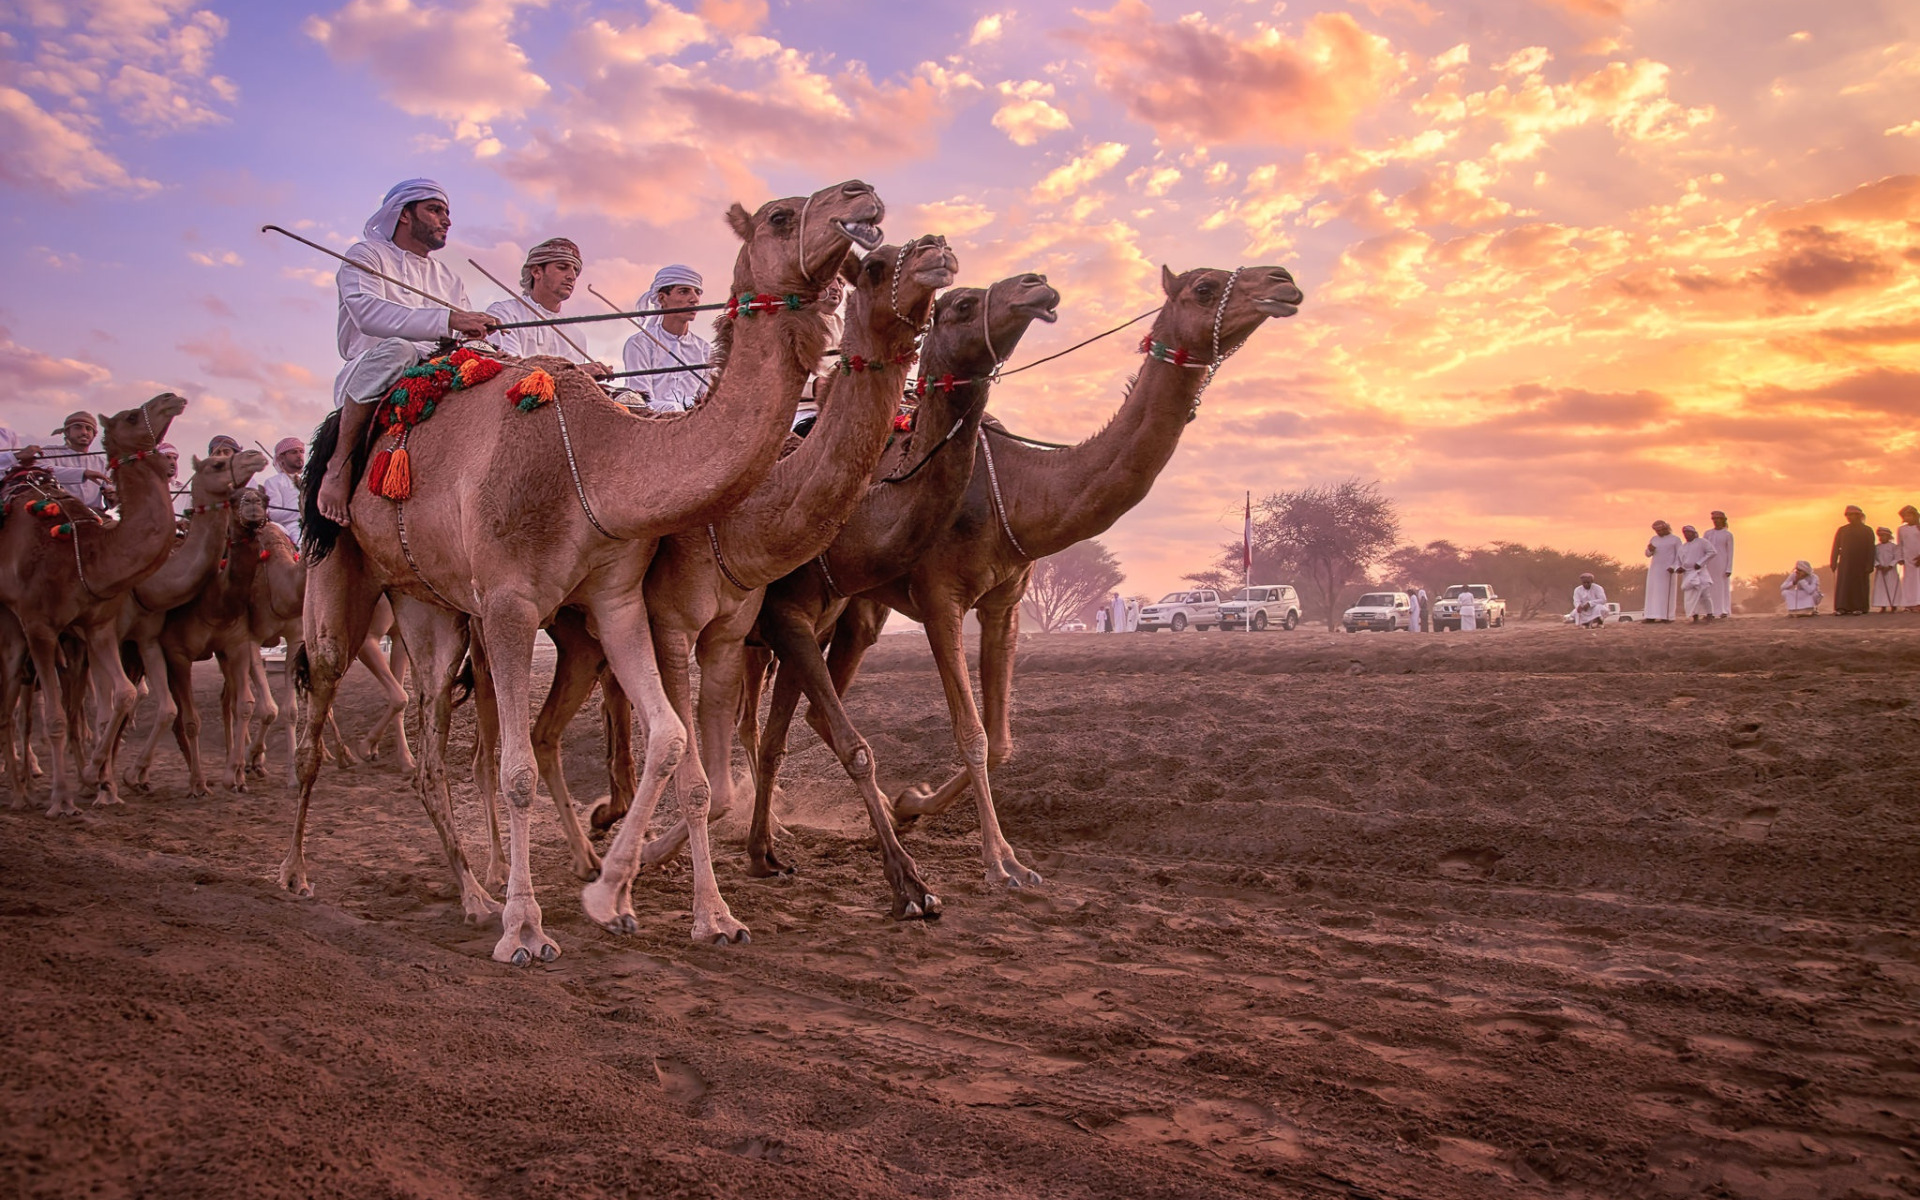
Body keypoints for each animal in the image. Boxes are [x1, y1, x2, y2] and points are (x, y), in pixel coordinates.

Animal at [0, 393, 186, 814]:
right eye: (131, 416)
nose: (172, 397)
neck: (84, 553)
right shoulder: (40, 627)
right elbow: (54, 718)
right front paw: (61, 799)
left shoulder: (98, 626)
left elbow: (124, 695)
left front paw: (93, 779)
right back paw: (23, 791)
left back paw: (25, 791)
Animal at [280, 180, 879, 963]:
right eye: (781, 214)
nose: (863, 196)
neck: (592, 463)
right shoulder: (510, 604)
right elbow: (517, 772)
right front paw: (528, 930)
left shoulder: (617, 600)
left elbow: (670, 741)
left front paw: (679, 910)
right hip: (342, 577)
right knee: (318, 715)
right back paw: (298, 875)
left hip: (428, 605)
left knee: (434, 745)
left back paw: (473, 896)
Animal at [721, 268, 1075, 906]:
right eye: (960, 304)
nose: (1038, 285)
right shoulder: (789, 616)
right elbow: (852, 745)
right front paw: (909, 882)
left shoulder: (807, 622)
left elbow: (783, 739)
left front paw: (765, 856)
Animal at [798, 268, 1305, 871]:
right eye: (1204, 287)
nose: (1284, 280)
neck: (1016, 493)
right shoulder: (939, 597)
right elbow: (970, 731)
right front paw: (1000, 859)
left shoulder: (1005, 601)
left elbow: (1000, 739)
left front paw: (911, 803)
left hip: (862, 601)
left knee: (814, 703)